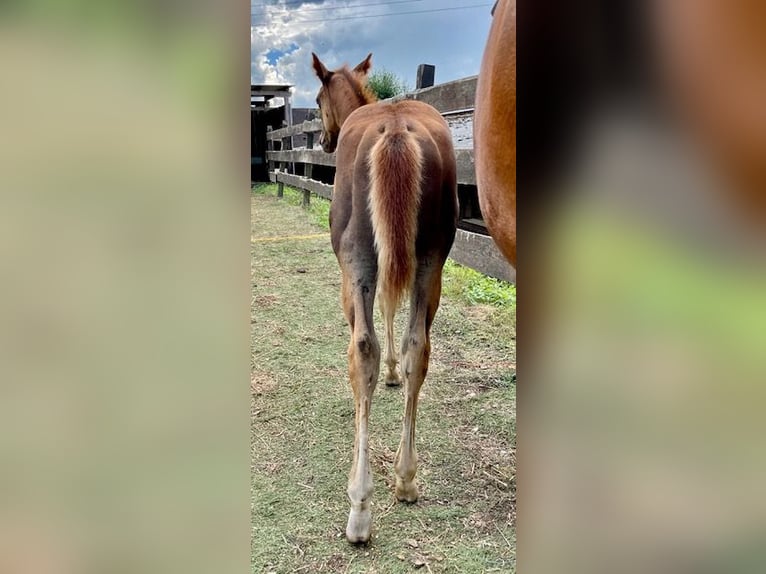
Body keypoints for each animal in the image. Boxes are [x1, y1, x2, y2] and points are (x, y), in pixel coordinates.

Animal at [311, 52, 458, 543]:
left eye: (316, 101)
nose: (323, 140)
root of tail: (395, 128)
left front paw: (385, 374)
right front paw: (396, 373)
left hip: (358, 254)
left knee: (362, 349)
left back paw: (360, 507)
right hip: (431, 258)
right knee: (420, 347)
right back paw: (406, 478)